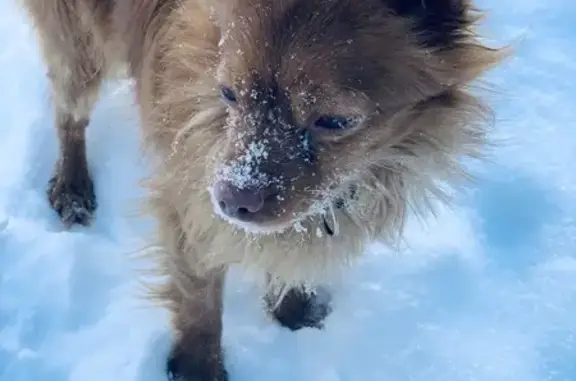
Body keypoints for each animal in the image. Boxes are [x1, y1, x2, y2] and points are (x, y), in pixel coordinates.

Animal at [20, 0, 502, 380]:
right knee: (70, 113)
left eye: (335, 121)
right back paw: (72, 187)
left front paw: (293, 310)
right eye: (228, 94)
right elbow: (199, 302)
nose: (231, 201)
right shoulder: (190, 201)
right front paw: (198, 370)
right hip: (79, 45)